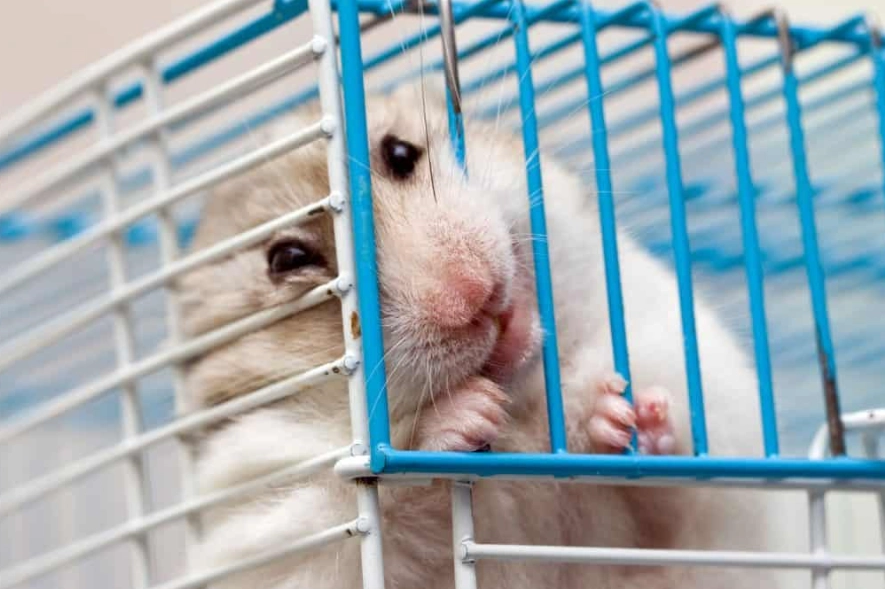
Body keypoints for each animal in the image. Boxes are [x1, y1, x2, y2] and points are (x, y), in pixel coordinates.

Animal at [178, 81, 804, 589]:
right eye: (288, 258)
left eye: (401, 153)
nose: (475, 295)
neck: (522, 404)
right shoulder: (275, 524)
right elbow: (394, 496)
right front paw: (472, 413)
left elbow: (672, 488)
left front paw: (622, 411)